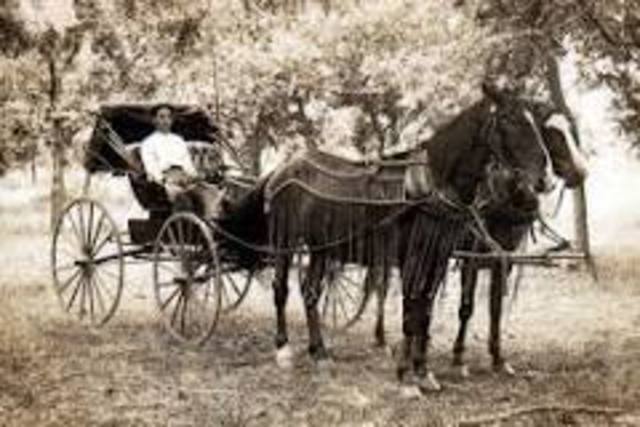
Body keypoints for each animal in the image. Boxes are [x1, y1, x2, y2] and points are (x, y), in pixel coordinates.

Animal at [257, 84, 570, 392]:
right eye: (508, 119)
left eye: (536, 123)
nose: (544, 179)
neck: (433, 185)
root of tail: (283, 167)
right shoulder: (416, 257)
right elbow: (413, 310)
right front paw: (405, 375)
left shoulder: (440, 257)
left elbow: (426, 311)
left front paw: (422, 370)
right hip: (285, 241)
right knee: (280, 288)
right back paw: (283, 349)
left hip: (322, 247)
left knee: (310, 292)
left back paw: (319, 352)